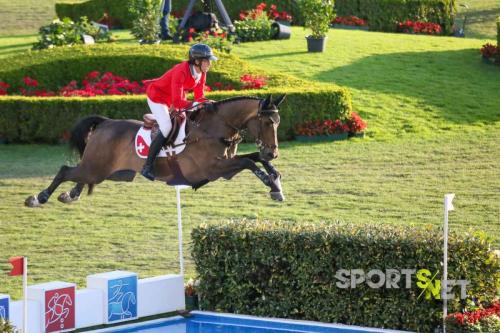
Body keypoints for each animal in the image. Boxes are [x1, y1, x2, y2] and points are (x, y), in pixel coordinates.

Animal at [25, 94, 286, 206]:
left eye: (278, 122)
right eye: (267, 122)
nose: (273, 152)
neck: (215, 127)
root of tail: (106, 123)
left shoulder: (226, 168)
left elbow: (253, 158)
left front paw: (275, 179)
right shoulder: (213, 169)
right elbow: (249, 162)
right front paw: (271, 183)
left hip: (110, 172)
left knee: (79, 176)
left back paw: (70, 194)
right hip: (96, 168)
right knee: (65, 170)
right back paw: (39, 197)